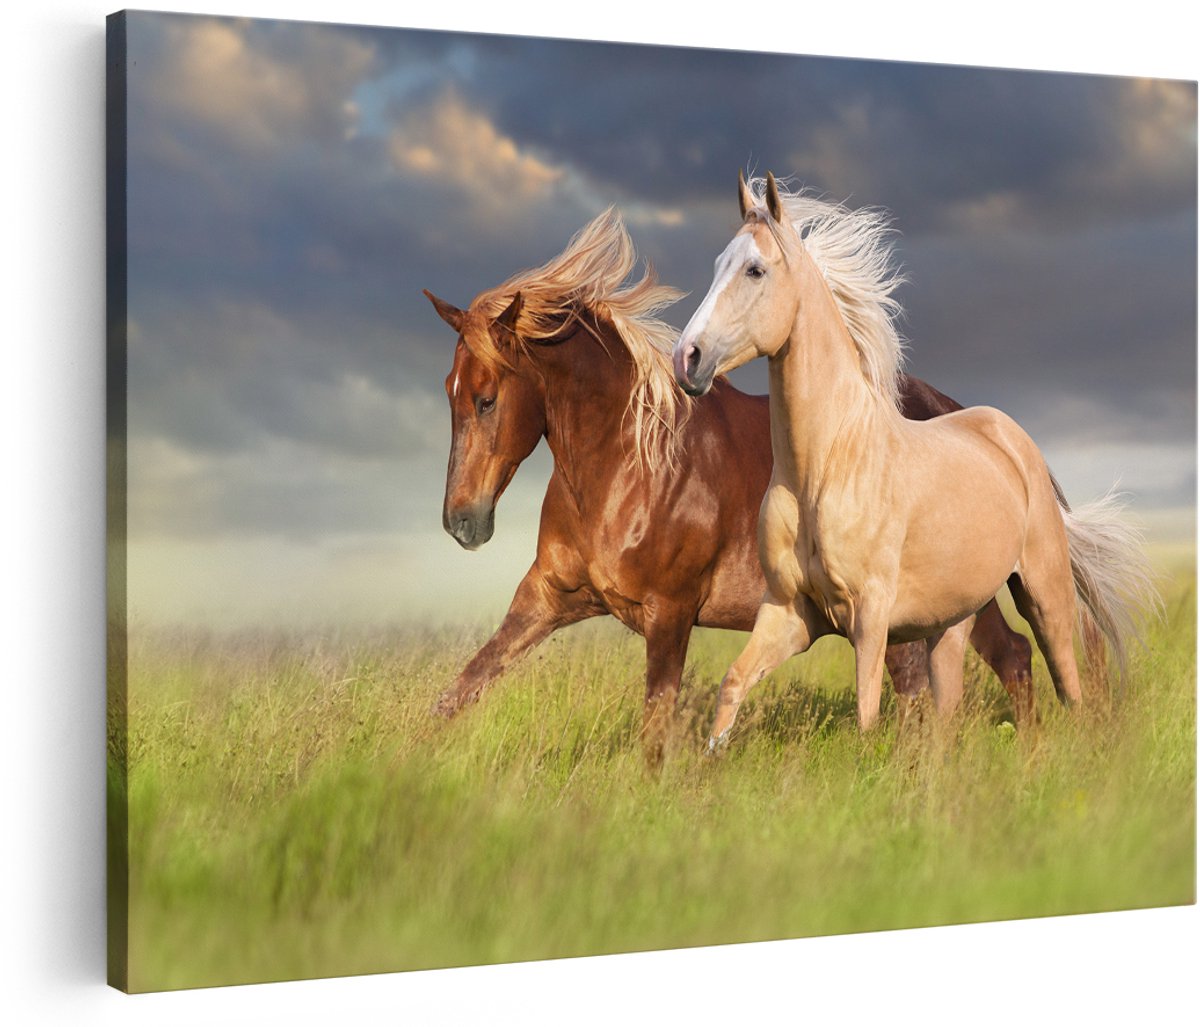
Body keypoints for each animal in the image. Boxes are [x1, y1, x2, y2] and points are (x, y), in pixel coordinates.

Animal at [423, 208, 1035, 763]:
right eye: (450, 391)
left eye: (486, 399)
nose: (461, 523)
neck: (627, 467)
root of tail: (962, 415)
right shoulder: (547, 597)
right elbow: (461, 690)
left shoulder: (670, 614)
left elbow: (655, 730)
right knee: (1002, 660)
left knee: (982, 667)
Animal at [672, 172, 1158, 748]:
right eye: (718, 263)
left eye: (755, 269)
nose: (687, 359)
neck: (826, 469)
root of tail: (1014, 440)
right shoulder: (790, 612)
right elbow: (732, 687)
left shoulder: (869, 616)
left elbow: (867, 713)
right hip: (952, 621)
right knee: (952, 708)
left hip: (1044, 592)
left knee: (1068, 683)